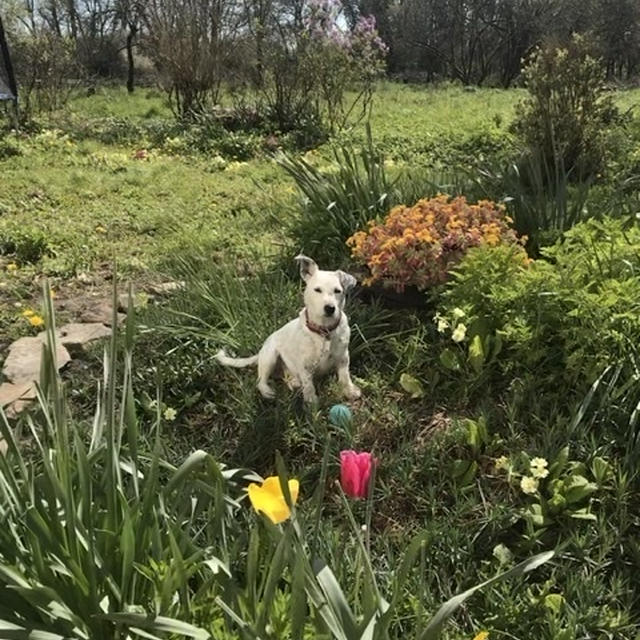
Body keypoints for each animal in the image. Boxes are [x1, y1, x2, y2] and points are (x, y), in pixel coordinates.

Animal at [215, 256, 362, 402]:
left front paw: (349, 391)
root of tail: (260, 353)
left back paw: (294, 383)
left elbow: (345, 376)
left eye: (338, 291)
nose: (330, 308)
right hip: (270, 356)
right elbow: (309, 385)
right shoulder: (305, 365)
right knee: (260, 380)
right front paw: (312, 403)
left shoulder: (343, 357)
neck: (323, 330)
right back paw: (268, 391)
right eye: (317, 290)